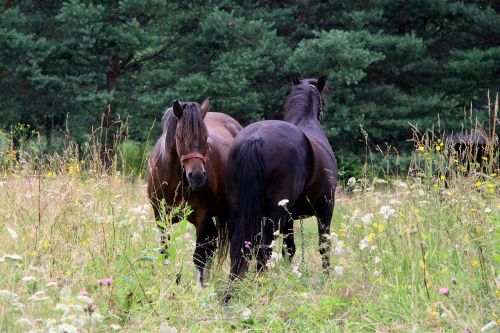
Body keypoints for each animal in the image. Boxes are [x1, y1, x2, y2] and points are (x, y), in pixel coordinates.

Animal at [147, 97, 241, 284]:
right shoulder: (160, 216)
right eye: (180, 137)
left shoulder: (201, 216)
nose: (197, 176)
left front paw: (199, 287)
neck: (174, 180)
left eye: (206, 138)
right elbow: (165, 251)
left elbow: (198, 256)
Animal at [221, 75, 338, 300]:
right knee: (264, 247)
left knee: (240, 246)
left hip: (240, 210)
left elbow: (289, 248)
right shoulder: (325, 208)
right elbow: (324, 246)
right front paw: (328, 279)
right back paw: (263, 285)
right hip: (275, 213)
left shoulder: (290, 217)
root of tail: (255, 139)